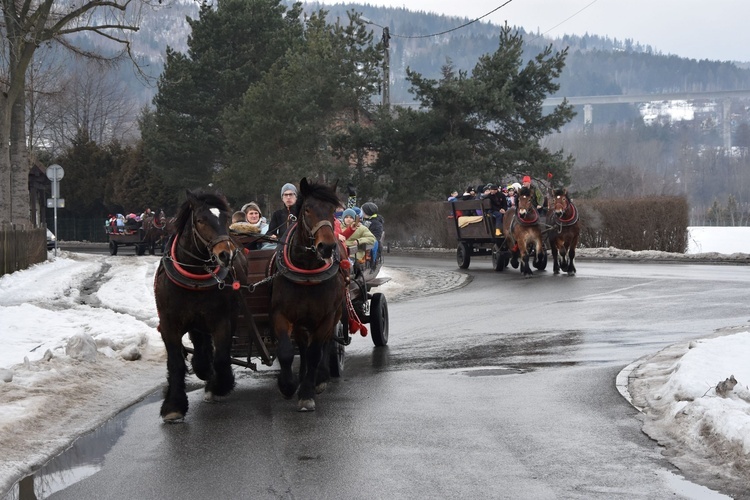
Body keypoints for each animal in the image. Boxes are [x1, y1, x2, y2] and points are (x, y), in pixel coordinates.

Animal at [153, 190, 247, 422]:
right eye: (201, 220)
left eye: (226, 219)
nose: (225, 255)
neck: (194, 277)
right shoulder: (169, 324)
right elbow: (176, 362)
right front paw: (173, 406)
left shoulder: (223, 320)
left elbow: (221, 358)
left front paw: (219, 385)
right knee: (200, 346)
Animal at [274, 178, 346, 412]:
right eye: (307, 209)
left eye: (333, 210)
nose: (327, 246)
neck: (306, 272)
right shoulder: (281, 314)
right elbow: (286, 351)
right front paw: (287, 385)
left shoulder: (326, 317)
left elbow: (316, 352)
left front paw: (307, 393)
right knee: (303, 346)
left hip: (335, 313)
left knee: (324, 345)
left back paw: (320, 377)